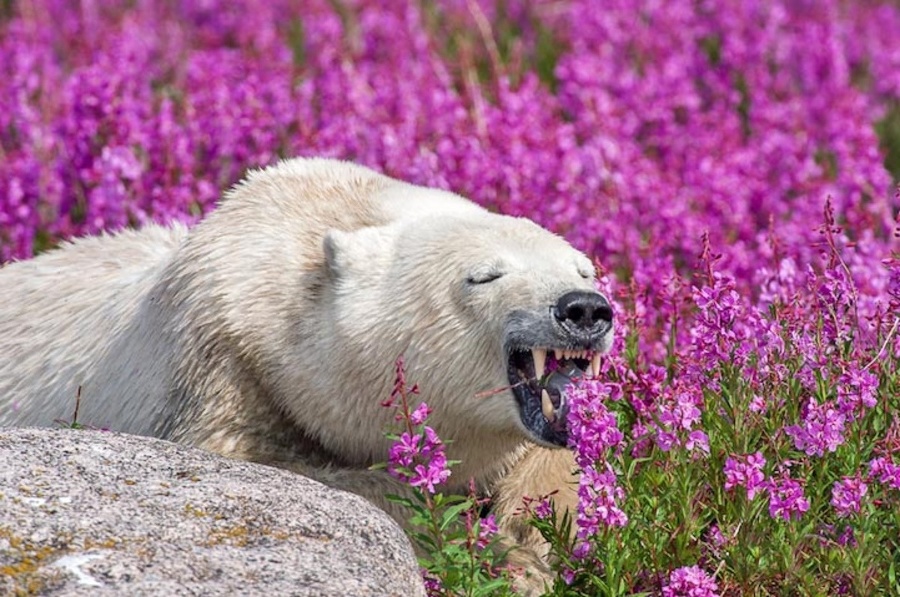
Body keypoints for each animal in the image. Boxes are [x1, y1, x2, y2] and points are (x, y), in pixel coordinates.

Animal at [0, 157, 612, 588]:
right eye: (484, 275)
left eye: (583, 268)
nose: (584, 309)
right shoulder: (220, 365)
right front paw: (492, 551)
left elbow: (553, 466)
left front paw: (533, 539)